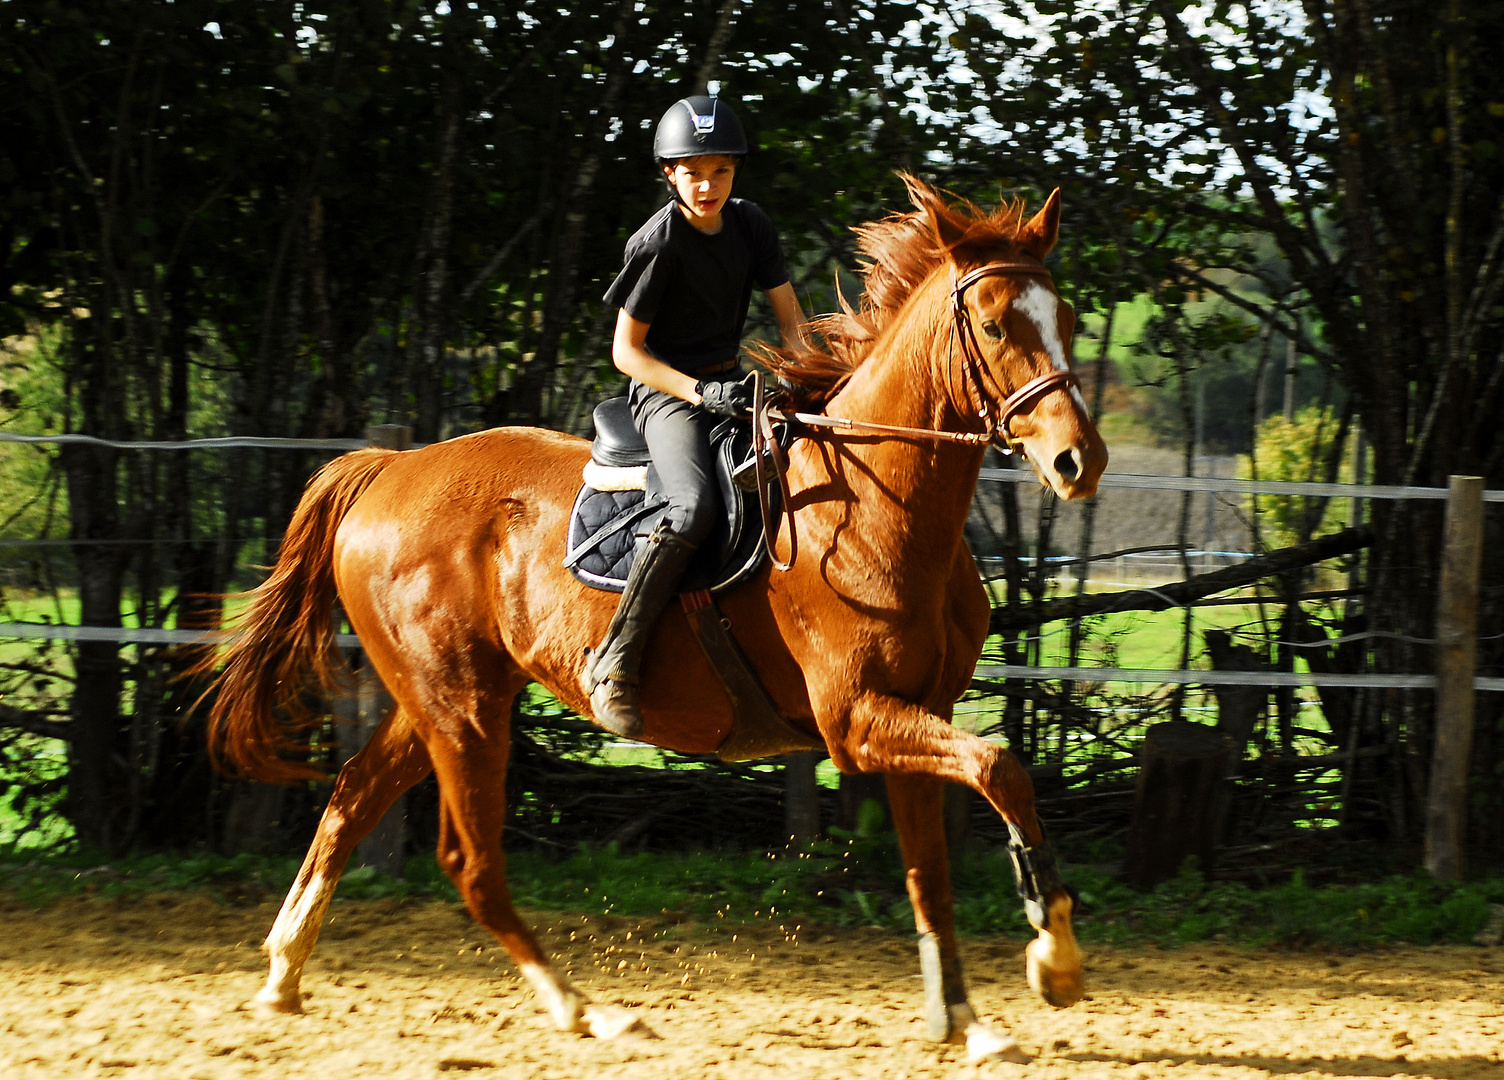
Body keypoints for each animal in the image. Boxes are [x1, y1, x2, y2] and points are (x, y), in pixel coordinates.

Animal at [203, 177, 1106, 1064]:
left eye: (1065, 321)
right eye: (992, 323)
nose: (1078, 461)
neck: (879, 503)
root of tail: (390, 468)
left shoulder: (917, 712)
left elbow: (931, 870)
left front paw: (965, 1019)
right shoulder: (857, 720)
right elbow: (1002, 769)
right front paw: (1053, 958)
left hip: (441, 697)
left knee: (353, 795)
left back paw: (283, 973)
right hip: (461, 709)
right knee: (470, 862)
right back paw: (587, 1012)